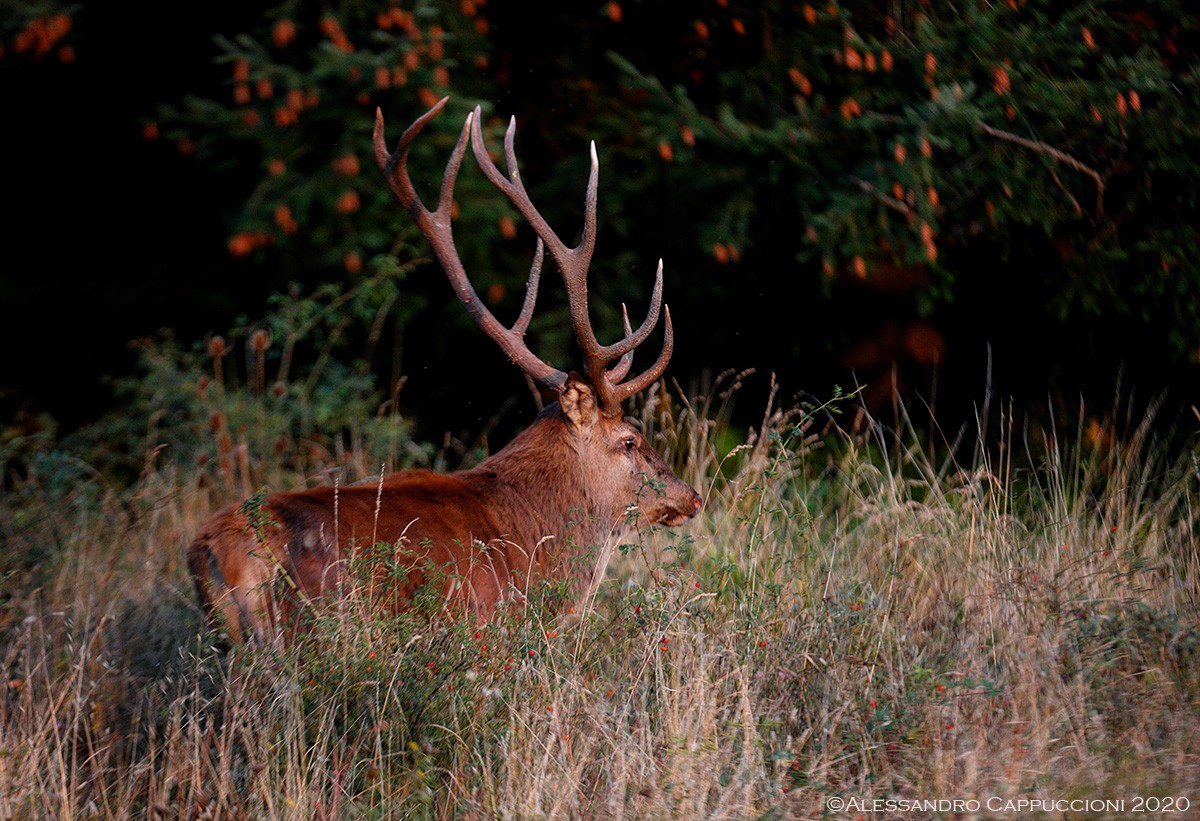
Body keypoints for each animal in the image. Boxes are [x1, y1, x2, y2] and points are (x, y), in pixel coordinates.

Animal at [187, 98, 702, 642]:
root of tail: (214, 553)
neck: (537, 543)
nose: (692, 497)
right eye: (630, 440)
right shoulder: (490, 626)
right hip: (310, 627)